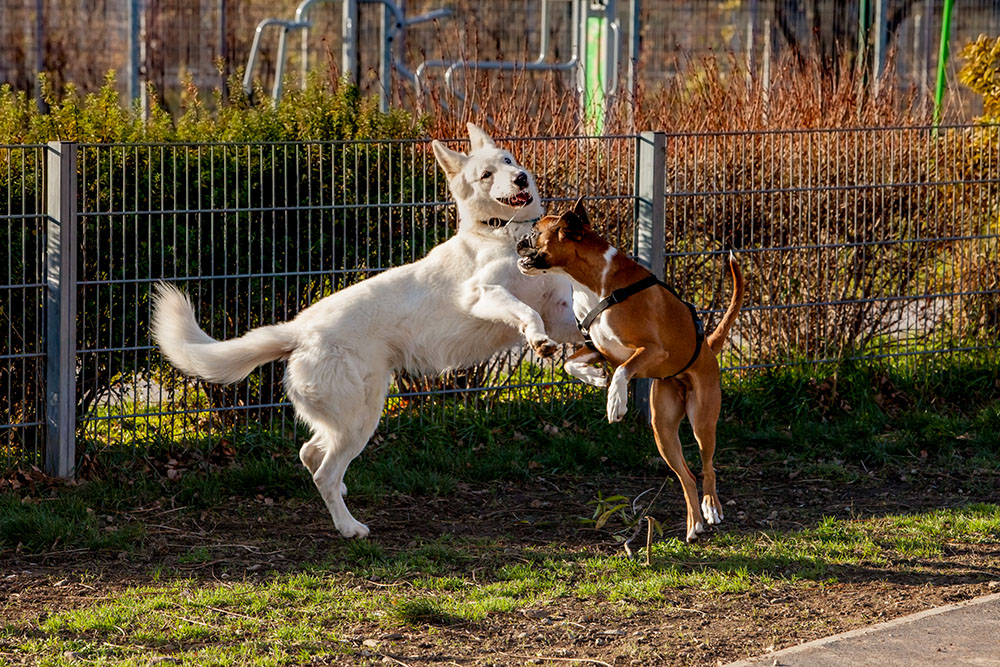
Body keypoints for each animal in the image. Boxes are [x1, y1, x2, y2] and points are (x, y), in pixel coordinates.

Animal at [152, 125, 584, 540]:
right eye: (487, 174)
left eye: (508, 160)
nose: (520, 178)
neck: (500, 234)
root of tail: (298, 331)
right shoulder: (482, 294)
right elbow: (525, 311)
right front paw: (538, 340)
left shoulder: (561, 313)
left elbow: (576, 326)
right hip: (359, 418)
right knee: (324, 471)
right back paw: (348, 527)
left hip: (352, 414)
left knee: (310, 454)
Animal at [516, 202, 744, 544]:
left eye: (534, 231)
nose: (517, 240)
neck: (594, 284)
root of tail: (706, 346)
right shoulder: (598, 347)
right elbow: (571, 364)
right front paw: (596, 379)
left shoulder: (653, 351)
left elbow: (624, 372)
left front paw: (616, 402)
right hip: (663, 431)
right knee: (687, 476)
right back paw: (693, 526)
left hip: (702, 421)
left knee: (707, 468)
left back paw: (711, 508)